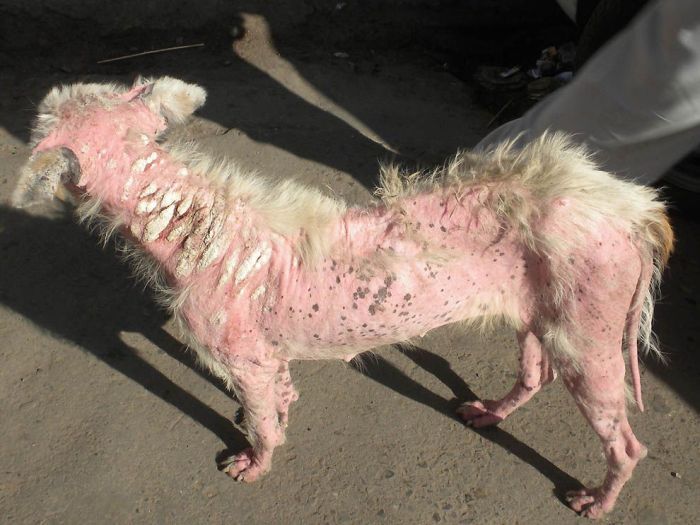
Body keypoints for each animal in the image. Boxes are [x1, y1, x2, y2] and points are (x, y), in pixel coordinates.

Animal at [13, 77, 672, 516]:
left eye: (40, 126)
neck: (196, 230)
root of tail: (634, 211)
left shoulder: (242, 356)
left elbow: (260, 423)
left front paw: (253, 464)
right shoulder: (266, 358)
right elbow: (277, 400)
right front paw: (279, 414)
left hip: (588, 334)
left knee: (628, 444)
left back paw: (596, 500)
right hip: (538, 312)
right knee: (537, 373)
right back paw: (489, 412)